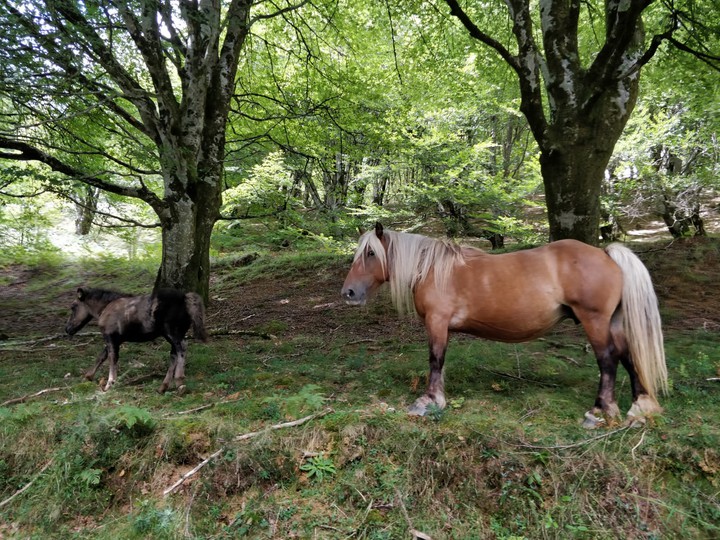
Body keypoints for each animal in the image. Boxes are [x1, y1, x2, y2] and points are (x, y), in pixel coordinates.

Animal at [65, 287, 208, 394]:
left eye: (73, 306)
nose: (68, 329)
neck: (106, 308)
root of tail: (185, 297)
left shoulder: (110, 337)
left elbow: (111, 359)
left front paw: (109, 384)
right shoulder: (116, 340)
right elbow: (101, 357)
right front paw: (88, 377)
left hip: (171, 332)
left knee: (182, 348)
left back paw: (179, 381)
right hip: (173, 334)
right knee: (174, 354)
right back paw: (163, 387)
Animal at [341, 222, 668, 429]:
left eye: (370, 253)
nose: (349, 293)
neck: (434, 269)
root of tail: (605, 254)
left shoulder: (437, 322)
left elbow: (435, 360)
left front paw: (429, 401)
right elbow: (441, 362)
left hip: (595, 320)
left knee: (608, 360)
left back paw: (599, 411)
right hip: (613, 322)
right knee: (627, 356)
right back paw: (639, 408)